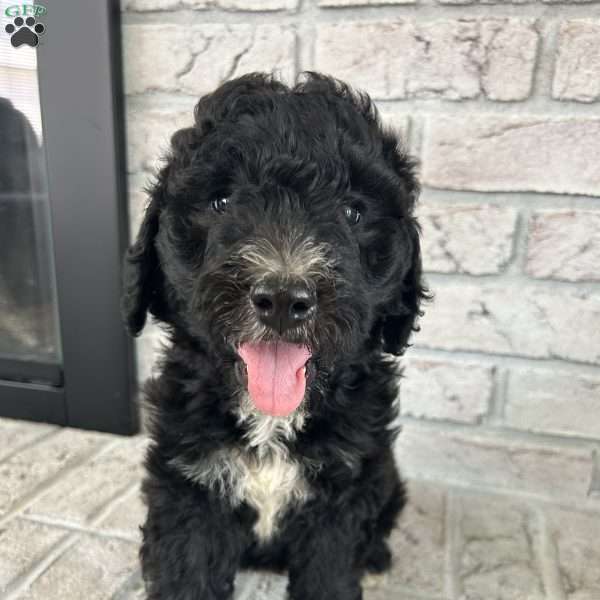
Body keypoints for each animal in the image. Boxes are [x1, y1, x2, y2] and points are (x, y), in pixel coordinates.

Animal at [124, 71, 426, 600]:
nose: (284, 298)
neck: (271, 421)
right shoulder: (189, 484)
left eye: (352, 212)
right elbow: (187, 571)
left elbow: (329, 573)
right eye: (221, 202)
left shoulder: (343, 489)